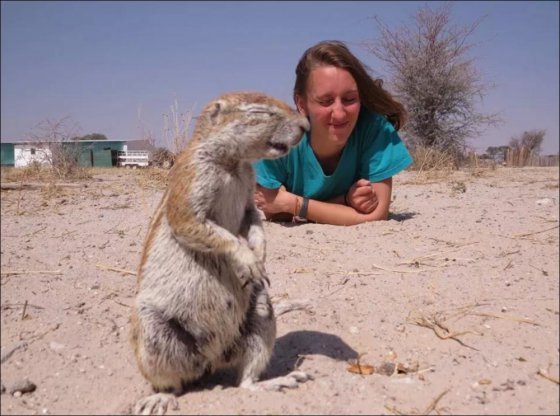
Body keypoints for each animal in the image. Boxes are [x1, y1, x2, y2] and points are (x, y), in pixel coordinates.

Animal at [131, 92, 312, 414]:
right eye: (260, 111)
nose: (306, 126)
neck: (234, 164)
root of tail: (211, 361)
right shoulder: (191, 181)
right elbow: (199, 226)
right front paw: (249, 260)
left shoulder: (250, 195)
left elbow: (253, 220)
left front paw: (260, 257)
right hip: (153, 332)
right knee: (174, 384)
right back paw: (159, 399)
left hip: (261, 314)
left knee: (245, 380)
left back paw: (275, 382)